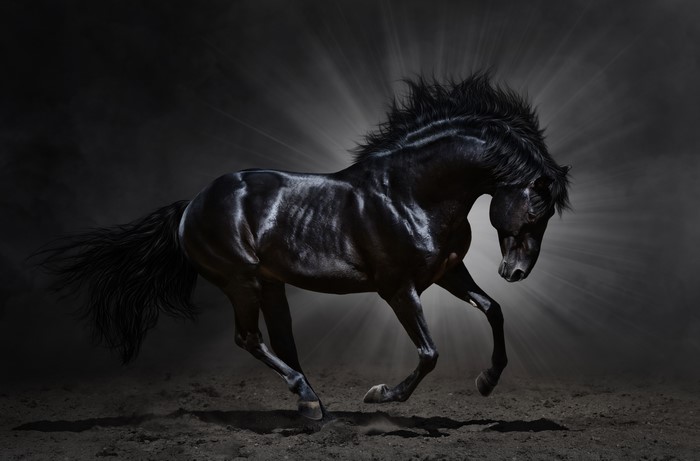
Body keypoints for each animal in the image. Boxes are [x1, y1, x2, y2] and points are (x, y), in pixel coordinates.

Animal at [39, 73, 570, 421]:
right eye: (535, 210)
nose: (515, 272)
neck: (410, 193)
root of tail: (191, 205)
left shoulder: (447, 273)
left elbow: (493, 310)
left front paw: (487, 381)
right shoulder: (398, 288)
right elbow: (429, 353)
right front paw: (379, 395)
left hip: (270, 285)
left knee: (282, 341)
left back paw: (312, 405)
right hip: (241, 281)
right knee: (249, 339)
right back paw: (309, 400)